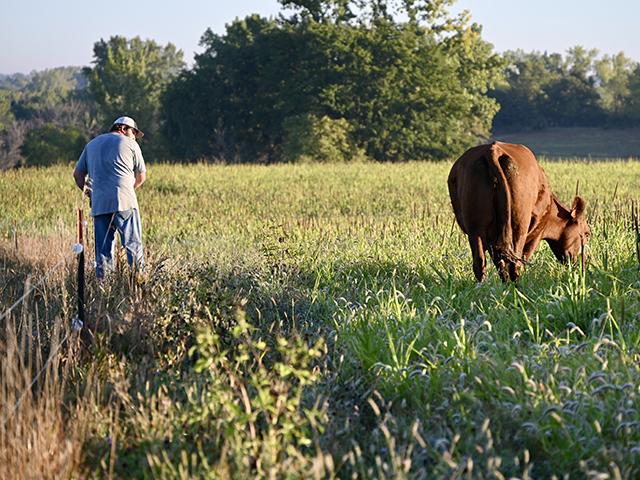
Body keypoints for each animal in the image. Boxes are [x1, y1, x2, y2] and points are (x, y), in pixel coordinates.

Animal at [447, 141, 590, 282]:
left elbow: (500, 265)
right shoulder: (536, 233)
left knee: (480, 262)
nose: (583, 262)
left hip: (475, 227)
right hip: (519, 225)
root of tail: (493, 149)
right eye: (587, 233)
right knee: (515, 263)